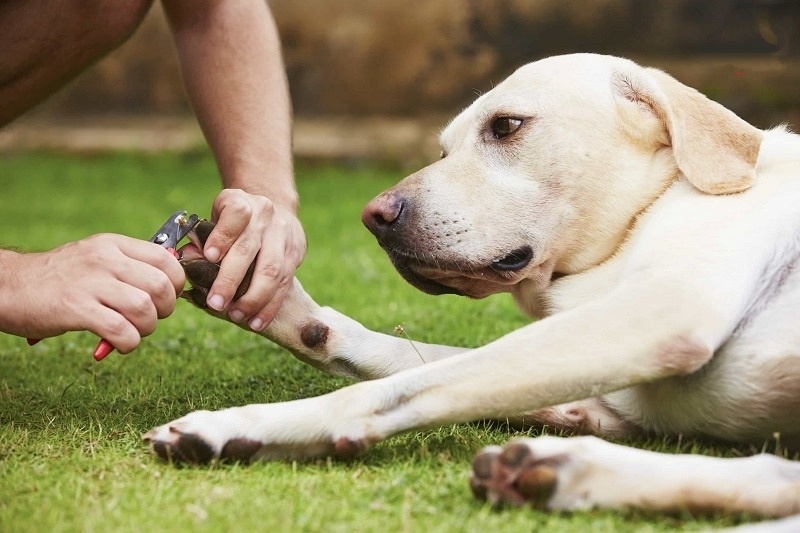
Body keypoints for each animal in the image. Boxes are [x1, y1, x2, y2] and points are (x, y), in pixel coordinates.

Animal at [147, 54, 796, 520]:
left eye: (505, 126)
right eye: (443, 149)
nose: (375, 216)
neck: (645, 210)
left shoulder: (663, 313)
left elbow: (385, 390)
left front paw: (239, 425)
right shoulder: (604, 399)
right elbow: (395, 357)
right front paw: (275, 296)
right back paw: (558, 471)